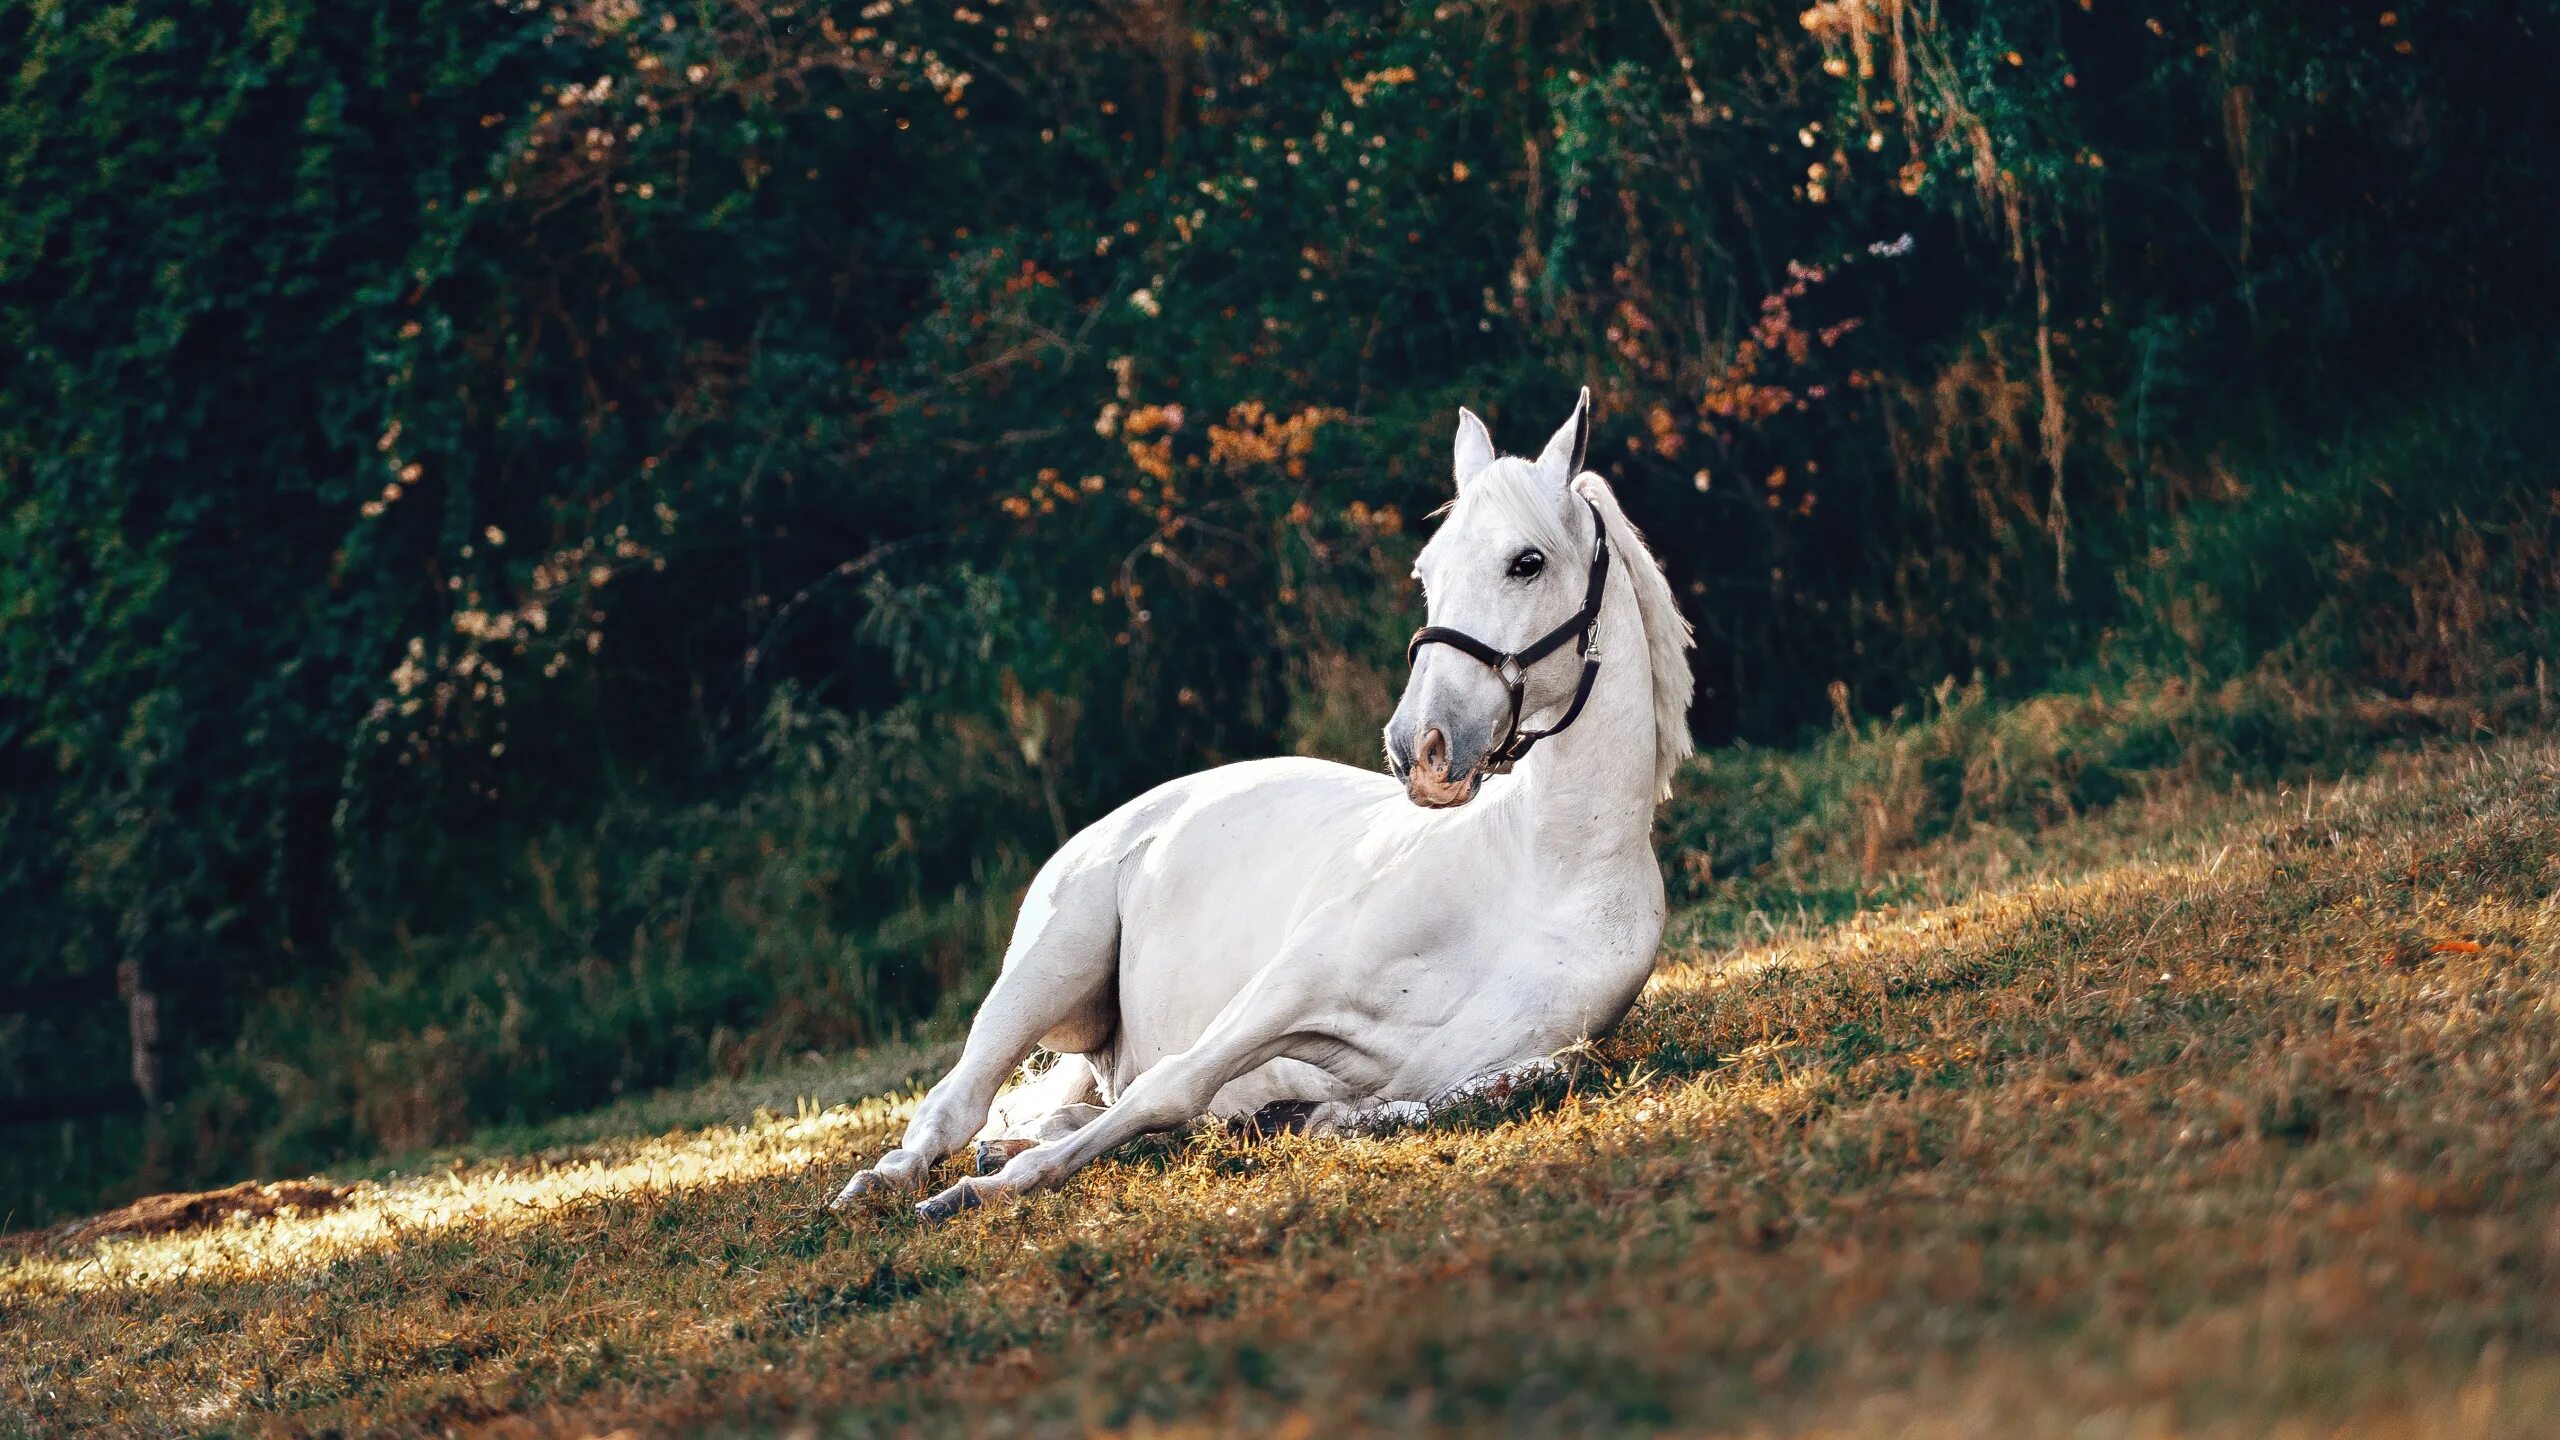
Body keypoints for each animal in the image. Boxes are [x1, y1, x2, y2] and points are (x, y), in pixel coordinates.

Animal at [829, 386, 1689, 1214]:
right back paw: (890, 1181)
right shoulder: (1288, 988)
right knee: (958, 1102)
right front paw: (990, 1191)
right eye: (1427, 572)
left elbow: (1493, 1086)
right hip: (1045, 972)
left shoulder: (1504, 1061)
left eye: (1527, 562)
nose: (1421, 749)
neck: (1544, 872)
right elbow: (1170, 1084)